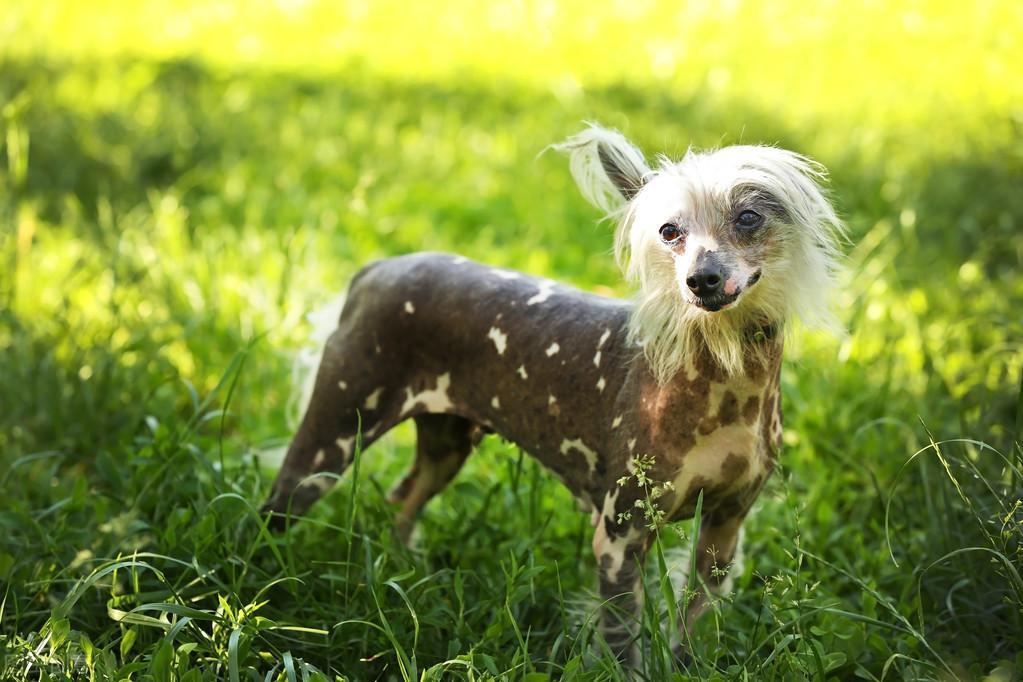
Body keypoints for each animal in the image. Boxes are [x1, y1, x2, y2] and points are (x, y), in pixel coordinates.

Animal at [259, 125, 842, 662]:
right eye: (669, 231)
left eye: (748, 218)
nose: (700, 280)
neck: (724, 380)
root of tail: (376, 268)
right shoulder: (620, 536)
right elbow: (623, 644)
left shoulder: (724, 531)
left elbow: (692, 630)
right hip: (328, 442)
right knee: (272, 513)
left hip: (447, 445)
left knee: (404, 500)